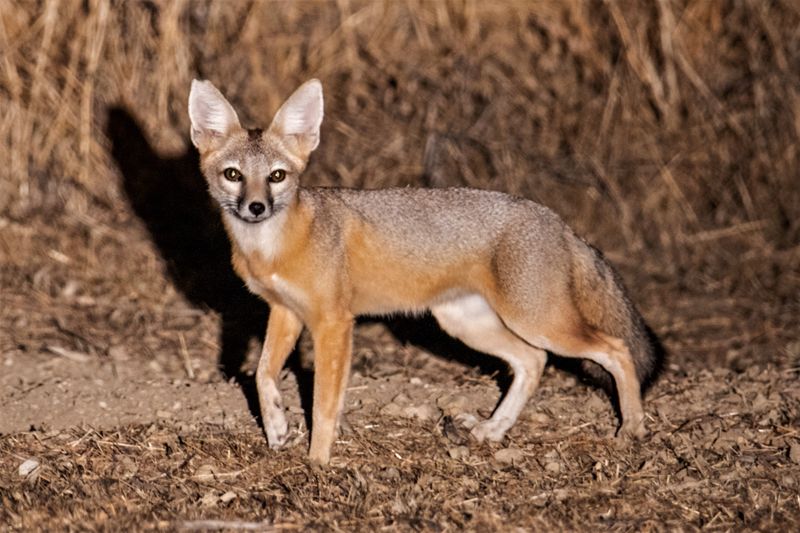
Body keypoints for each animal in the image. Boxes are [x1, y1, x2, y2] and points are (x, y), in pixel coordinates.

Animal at [191, 77, 660, 464]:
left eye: (277, 177)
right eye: (233, 175)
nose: (256, 207)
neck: (271, 248)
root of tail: (558, 220)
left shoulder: (333, 323)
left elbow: (324, 404)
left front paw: (317, 463)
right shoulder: (285, 312)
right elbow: (263, 375)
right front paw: (277, 428)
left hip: (540, 322)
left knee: (616, 349)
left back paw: (633, 428)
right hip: (467, 325)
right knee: (533, 361)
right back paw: (493, 429)